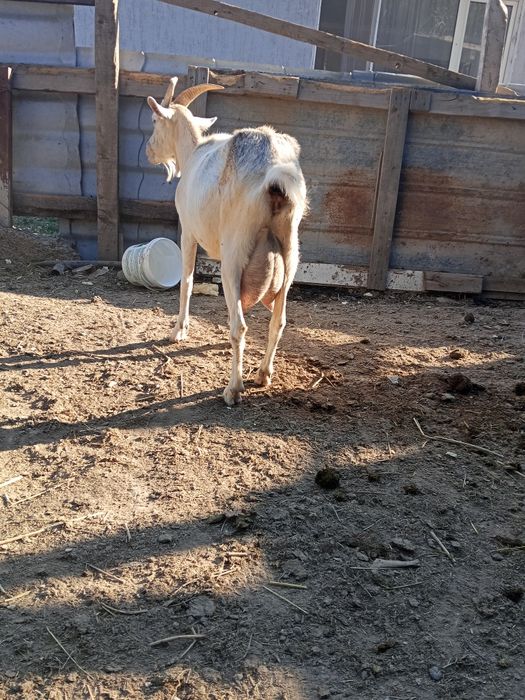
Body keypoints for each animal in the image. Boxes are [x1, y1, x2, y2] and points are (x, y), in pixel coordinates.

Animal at [146, 78, 307, 406]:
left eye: (155, 121)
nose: (148, 151)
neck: (193, 152)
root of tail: (275, 175)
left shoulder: (188, 231)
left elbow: (187, 281)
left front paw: (178, 330)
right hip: (290, 251)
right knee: (279, 320)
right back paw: (263, 374)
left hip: (235, 253)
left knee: (240, 326)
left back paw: (233, 389)